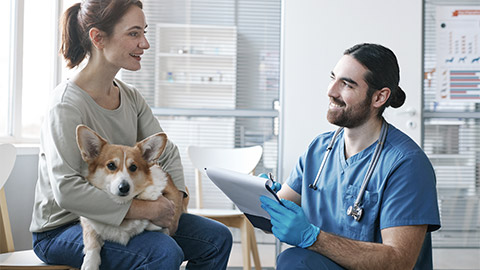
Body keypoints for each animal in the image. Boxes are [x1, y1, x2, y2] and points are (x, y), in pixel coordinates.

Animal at [75, 125, 180, 270]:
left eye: (133, 167)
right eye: (111, 165)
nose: (124, 187)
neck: (122, 202)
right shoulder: (88, 222)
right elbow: (91, 241)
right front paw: (90, 263)